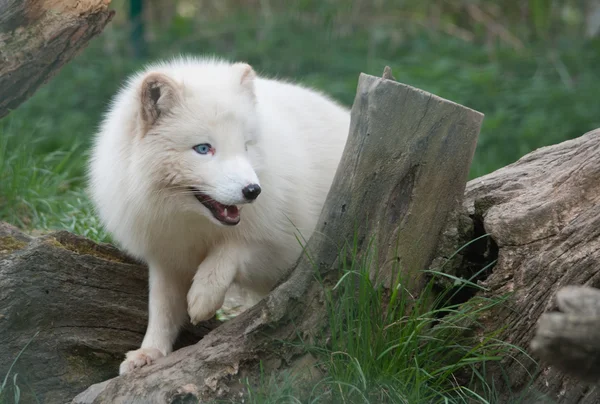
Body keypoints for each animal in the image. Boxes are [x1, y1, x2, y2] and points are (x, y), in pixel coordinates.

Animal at [89, 56, 352, 372]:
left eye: (246, 146)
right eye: (203, 148)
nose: (253, 190)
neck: (194, 225)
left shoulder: (281, 240)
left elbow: (231, 250)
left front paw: (203, 296)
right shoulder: (166, 255)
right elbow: (162, 308)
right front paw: (149, 352)